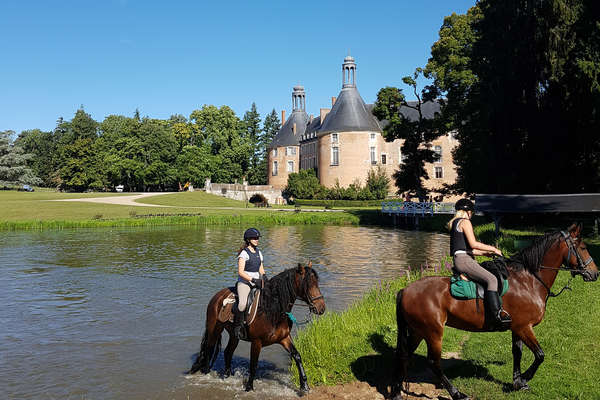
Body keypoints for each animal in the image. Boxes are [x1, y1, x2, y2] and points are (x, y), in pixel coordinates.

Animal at [189, 260, 326, 392]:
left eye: (317, 283)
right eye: (308, 285)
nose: (321, 308)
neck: (272, 310)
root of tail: (217, 296)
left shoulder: (284, 338)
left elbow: (297, 356)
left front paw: (304, 386)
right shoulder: (256, 342)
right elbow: (253, 364)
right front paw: (249, 387)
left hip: (234, 335)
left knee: (228, 352)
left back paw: (227, 376)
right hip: (215, 330)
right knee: (209, 350)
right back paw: (206, 373)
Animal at [394, 223, 596, 398]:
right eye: (583, 247)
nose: (595, 273)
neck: (528, 280)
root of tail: (405, 290)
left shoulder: (517, 328)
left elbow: (517, 353)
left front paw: (518, 382)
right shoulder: (524, 327)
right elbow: (540, 355)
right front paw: (525, 378)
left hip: (418, 331)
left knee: (404, 356)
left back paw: (397, 393)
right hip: (433, 332)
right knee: (433, 363)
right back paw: (457, 393)